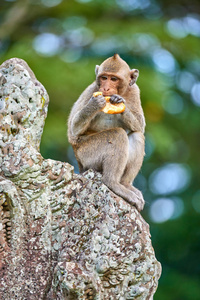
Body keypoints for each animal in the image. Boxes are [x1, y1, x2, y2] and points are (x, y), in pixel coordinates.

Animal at [67, 54, 145, 212]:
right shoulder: (91, 89)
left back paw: (125, 184)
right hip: (87, 154)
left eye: (113, 79)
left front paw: (120, 102)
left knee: (137, 134)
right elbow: (73, 129)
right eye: (104, 77)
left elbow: (140, 125)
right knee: (117, 135)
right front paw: (94, 104)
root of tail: (80, 165)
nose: (106, 87)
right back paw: (112, 183)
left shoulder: (135, 90)